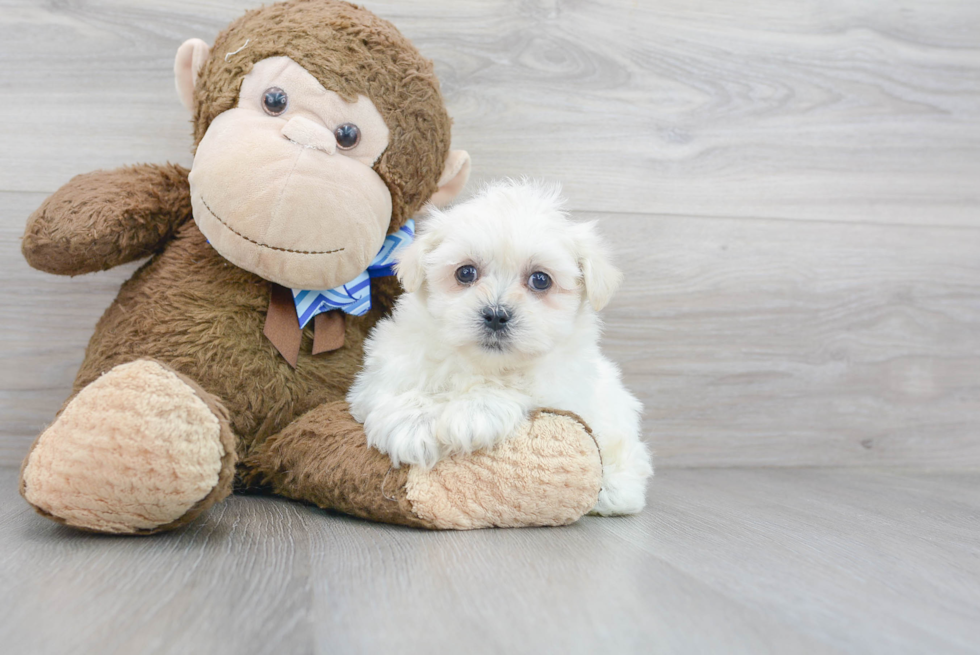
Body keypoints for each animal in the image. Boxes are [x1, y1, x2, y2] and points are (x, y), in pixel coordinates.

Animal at [348, 181, 656, 516]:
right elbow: (393, 385)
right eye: (465, 273)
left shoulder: (564, 387)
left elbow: (517, 385)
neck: (480, 363)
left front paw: (472, 412)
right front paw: (412, 423)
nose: (496, 315)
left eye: (540, 280)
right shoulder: (384, 366)